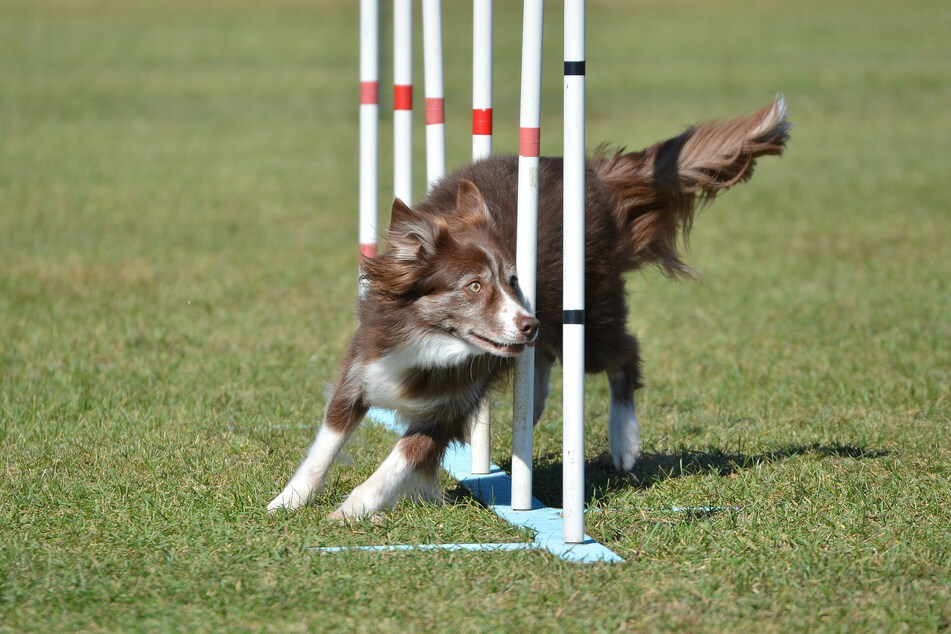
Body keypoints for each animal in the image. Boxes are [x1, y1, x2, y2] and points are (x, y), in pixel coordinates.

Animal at [266, 96, 788, 516]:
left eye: (514, 281)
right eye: (474, 286)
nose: (526, 323)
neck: (428, 339)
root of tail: (592, 178)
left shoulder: (448, 408)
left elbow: (401, 460)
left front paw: (351, 510)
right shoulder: (364, 367)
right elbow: (325, 444)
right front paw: (287, 502)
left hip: (583, 310)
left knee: (623, 354)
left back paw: (624, 439)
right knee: (549, 361)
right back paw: (532, 408)